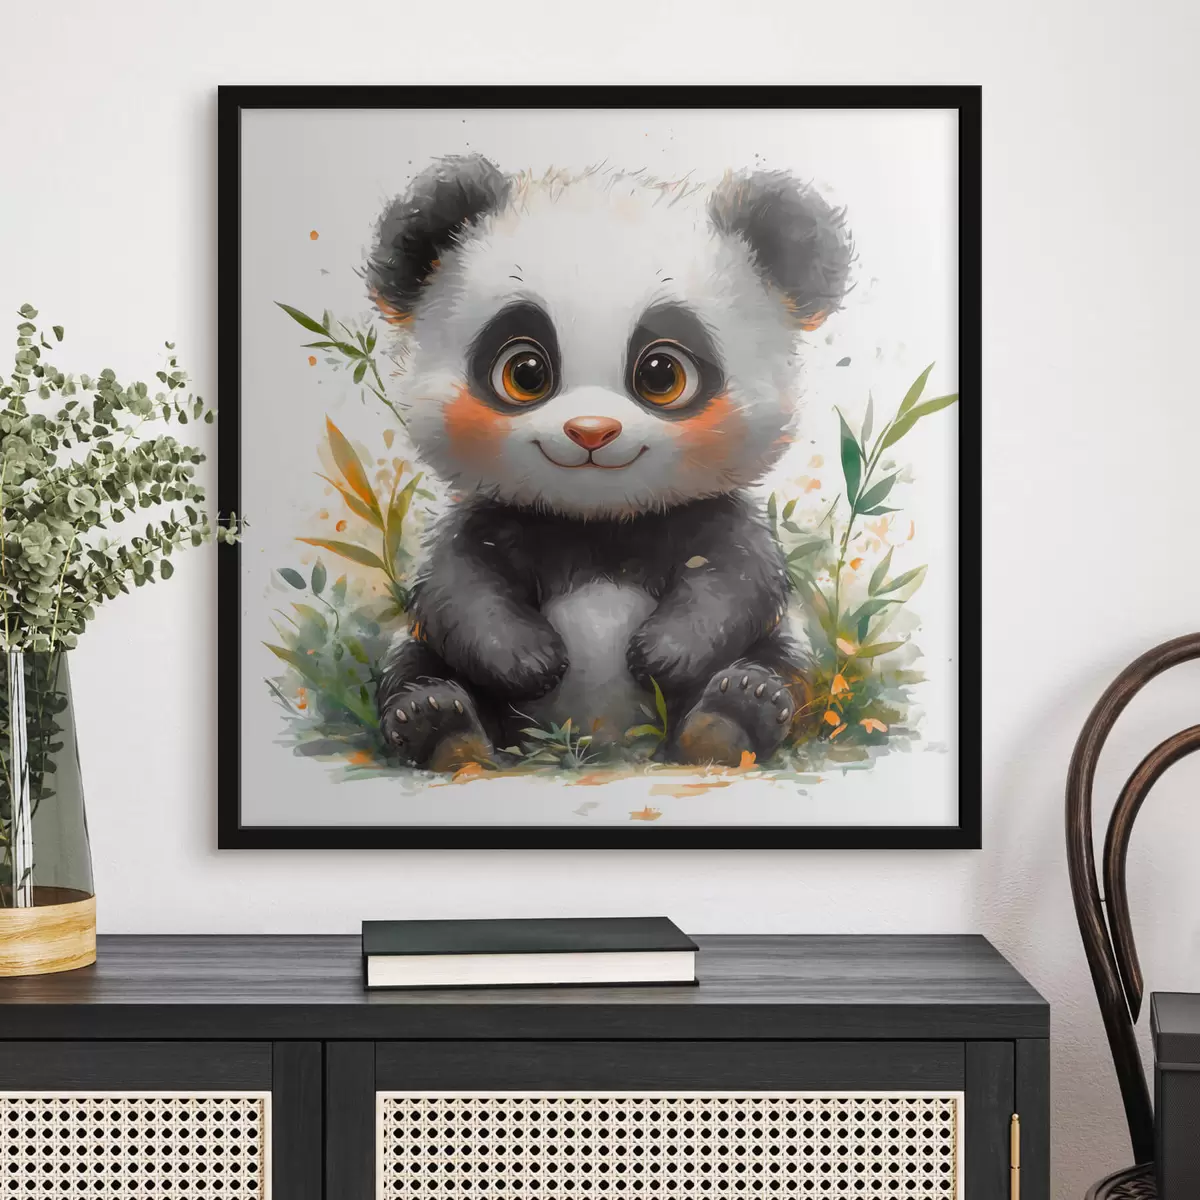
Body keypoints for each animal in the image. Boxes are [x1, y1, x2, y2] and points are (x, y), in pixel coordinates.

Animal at [366, 156, 853, 772]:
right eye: (525, 372)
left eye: (661, 374)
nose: (591, 431)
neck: (599, 523)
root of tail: (606, 746)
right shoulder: (496, 516)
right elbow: (459, 586)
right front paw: (531, 660)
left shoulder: (709, 513)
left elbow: (737, 578)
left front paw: (661, 655)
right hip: (435, 666)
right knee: (412, 665)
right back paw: (440, 725)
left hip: (779, 657)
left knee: (784, 664)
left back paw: (733, 714)